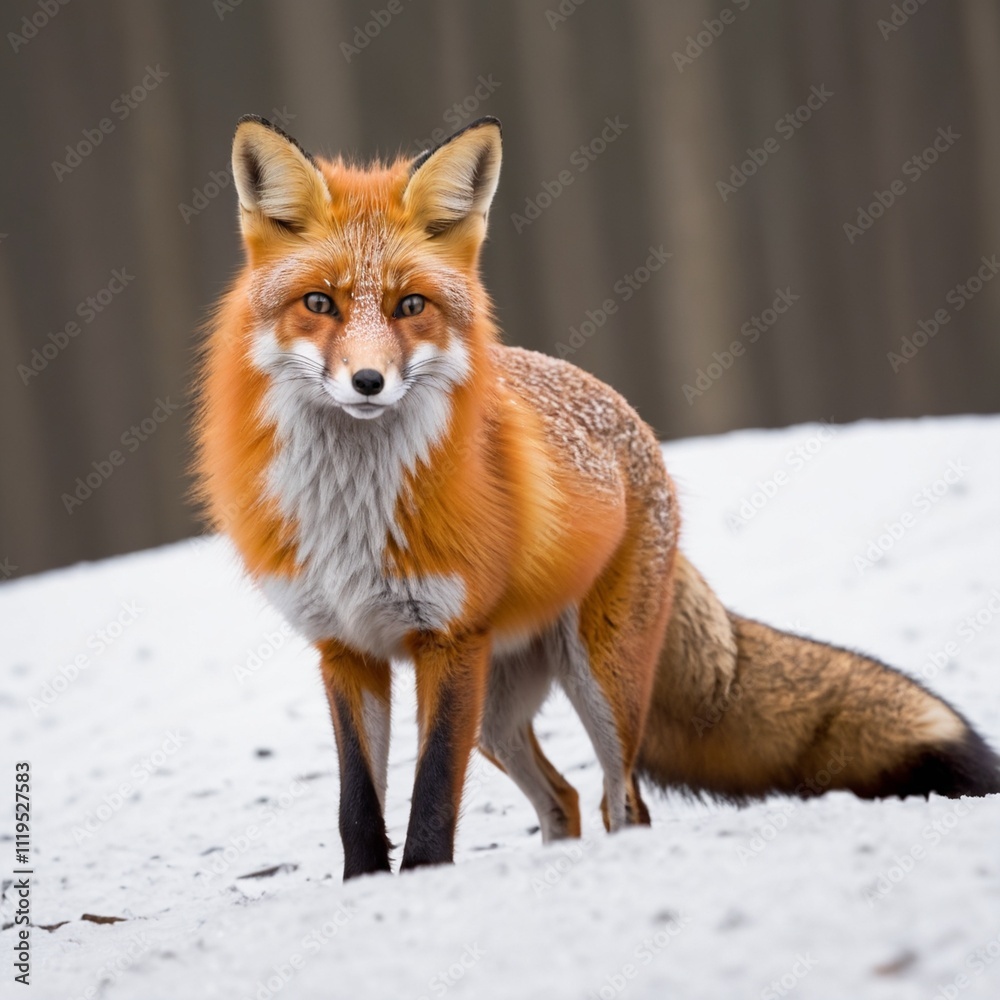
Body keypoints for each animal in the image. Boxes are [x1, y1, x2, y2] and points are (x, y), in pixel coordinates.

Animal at [194, 114, 1000, 879]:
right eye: (319, 303)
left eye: (410, 305)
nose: (368, 383)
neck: (353, 511)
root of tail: (632, 422)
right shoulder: (345, 649)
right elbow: (358, 804)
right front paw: (366, 888)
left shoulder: (449, 640)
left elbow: (430, 799)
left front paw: (422, 880)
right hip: (497, 713)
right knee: (565, 798)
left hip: (598, 682)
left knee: (623, 802)